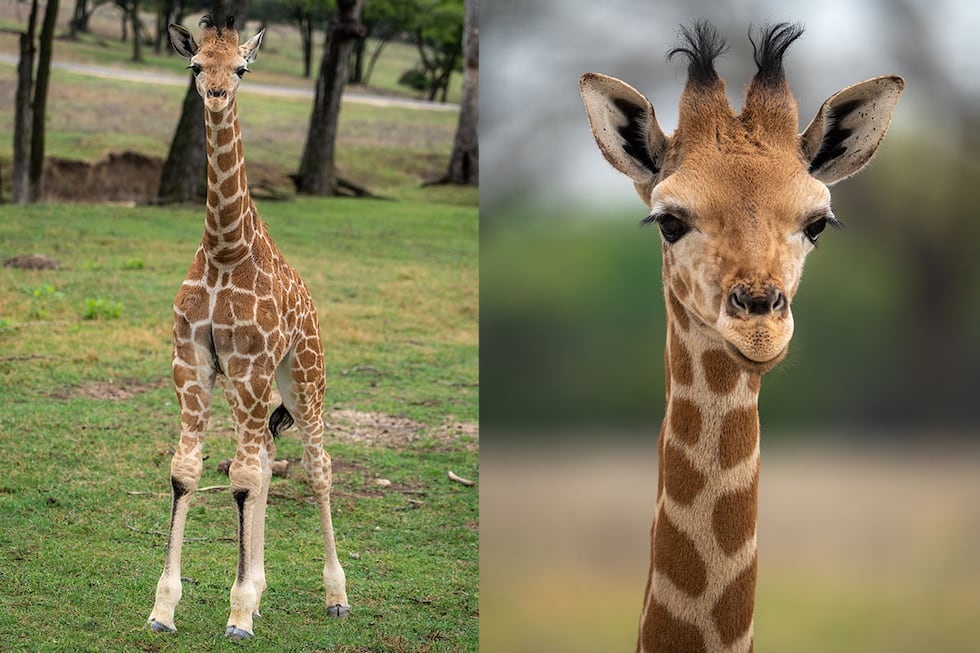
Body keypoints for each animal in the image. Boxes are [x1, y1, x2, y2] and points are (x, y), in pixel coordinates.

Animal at [146, 15, 349, 639]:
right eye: (195, 65)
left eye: (241, 68)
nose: (215, 94)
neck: (225, 248)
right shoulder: (191, 361)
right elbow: (188, 471)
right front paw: (165, 608)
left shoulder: (252, 364)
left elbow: (237, 478)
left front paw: (237, 614)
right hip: (254, 388)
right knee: (262, 461)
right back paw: (259, 591)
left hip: (302, 376)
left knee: (315, 467)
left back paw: (337, 596)